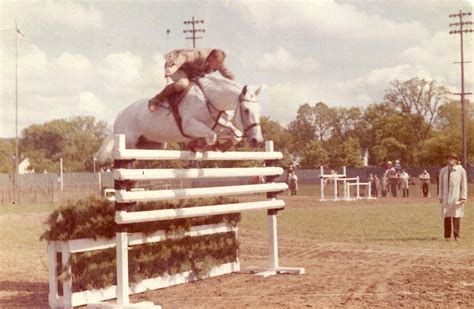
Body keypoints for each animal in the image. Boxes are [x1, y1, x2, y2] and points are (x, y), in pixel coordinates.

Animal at [96, 75, 262, 161]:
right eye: (246, 110)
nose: (257, 141)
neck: (208, 99)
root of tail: (119, 116)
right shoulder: (189, 125)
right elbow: (211, 136)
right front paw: (199, 145)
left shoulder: (219, 127)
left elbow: (236, 135)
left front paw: (218, 147)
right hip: (128, 140)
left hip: (155, 145)